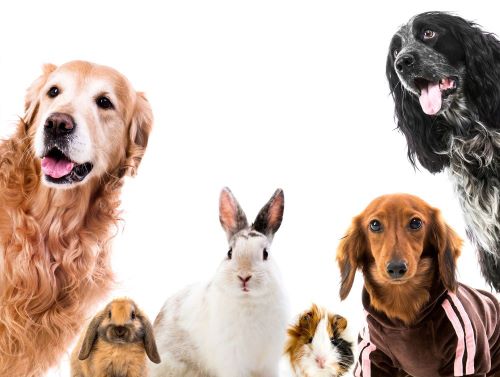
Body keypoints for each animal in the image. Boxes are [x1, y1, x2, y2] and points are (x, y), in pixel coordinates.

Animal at [148, 188, 290, 376]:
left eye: (265, 254)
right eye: (229, 253)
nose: (244, 277)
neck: (249, 300)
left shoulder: (268, 362)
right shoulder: (232, 360)